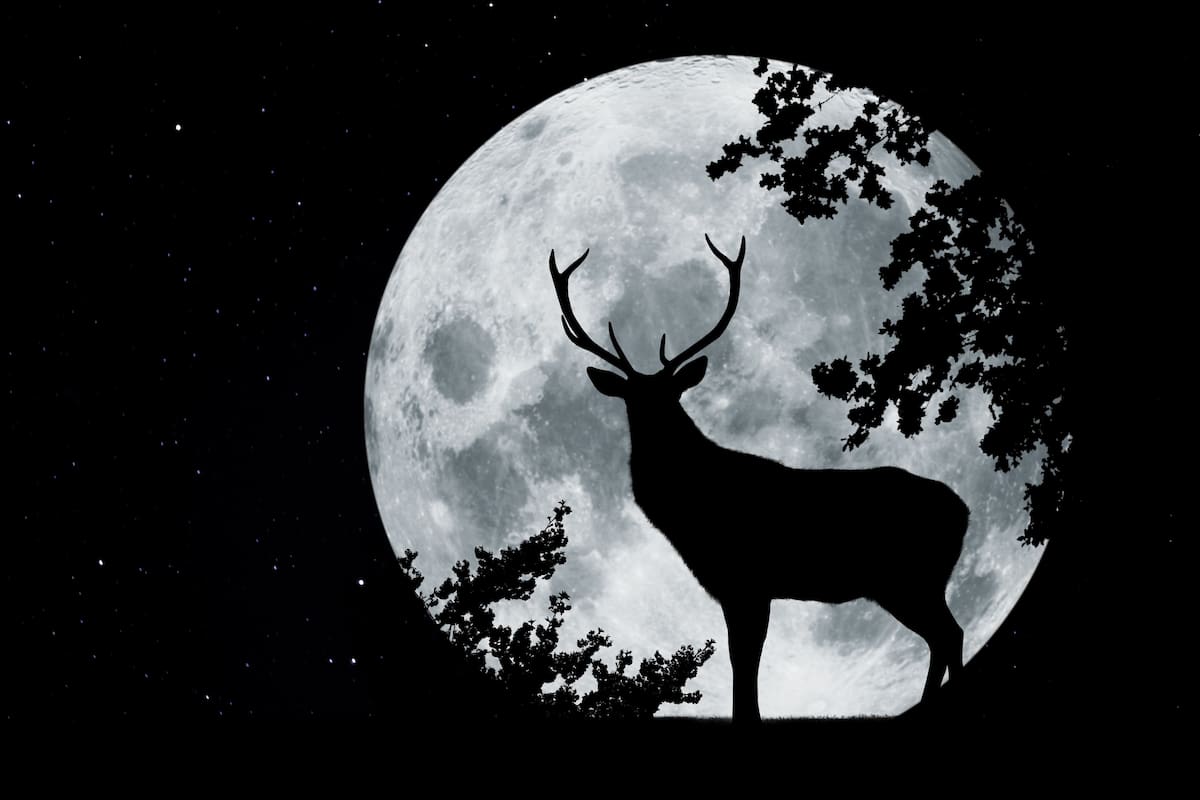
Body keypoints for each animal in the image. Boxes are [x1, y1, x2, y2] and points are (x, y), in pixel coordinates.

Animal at [549, 234, 969, 722]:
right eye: (631, 398)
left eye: (672, 393)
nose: (653, 424)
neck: (691, 509)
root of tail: (964, 511)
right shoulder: (736, 585)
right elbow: (742, 659)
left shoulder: (747, 578)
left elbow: (744, 659)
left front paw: (747, 716)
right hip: (911, 582)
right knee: (945, 636)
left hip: (909, 577)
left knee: (949, 634)